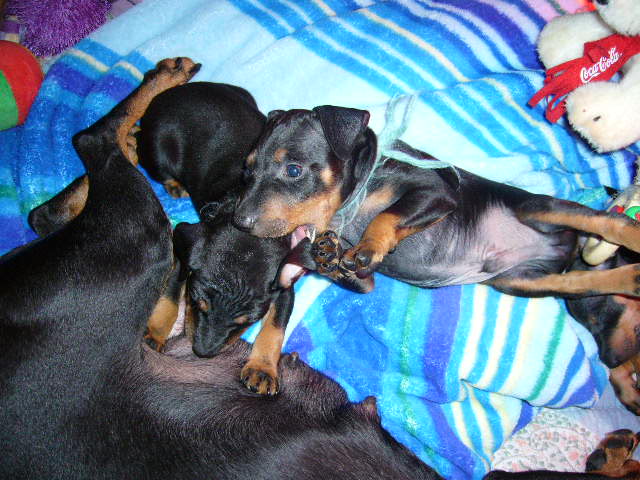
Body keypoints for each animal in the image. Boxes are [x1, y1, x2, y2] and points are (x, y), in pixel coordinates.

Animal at [0, 58, 445, 479]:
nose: (203, 352)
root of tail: (176, 100)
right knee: (89, 142)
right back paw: (159, 97)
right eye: (247, 171)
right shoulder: (183, 243)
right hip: (146, 219)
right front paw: (158, 328)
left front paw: (264, 364)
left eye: (294, 170)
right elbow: (174, 285)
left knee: (52, 208)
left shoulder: (287, 282)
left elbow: (282, 317)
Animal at [231, 105, 640, 409]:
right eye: (246, 171)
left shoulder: (436, 192)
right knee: (583, 283)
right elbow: (350, 274)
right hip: (518, 281)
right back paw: (630, 280)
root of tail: (567, 249)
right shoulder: (363, 277)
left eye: (294, 169)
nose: (239, 222)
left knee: (604, 221)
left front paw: (368, 245)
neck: (354, 199)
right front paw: (329, 254)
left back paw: (631, 236)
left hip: (536, 209)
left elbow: (385, 217)